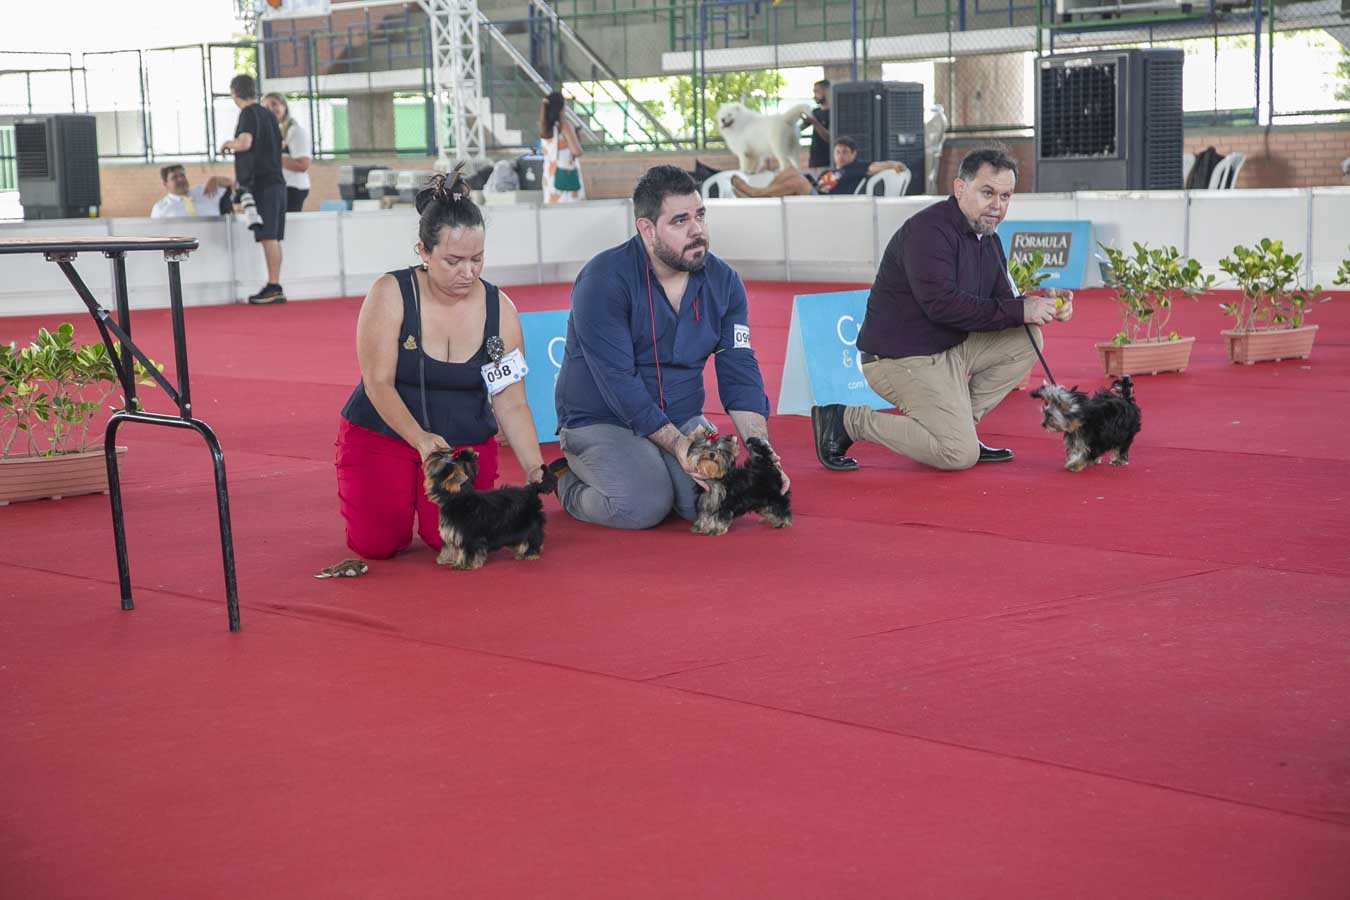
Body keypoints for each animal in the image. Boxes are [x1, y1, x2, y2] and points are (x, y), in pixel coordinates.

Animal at [422, 448, 555, 569]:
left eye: (440, 463)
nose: (436, 454)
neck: (457, 497)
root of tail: (531, 489)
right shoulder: (453, 531)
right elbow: (449, 546)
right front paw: (445, 559)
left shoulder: (469, 534)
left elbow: (468, 549)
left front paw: (465, 564)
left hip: (528, 522)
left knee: (533, 535)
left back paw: (531, 553)